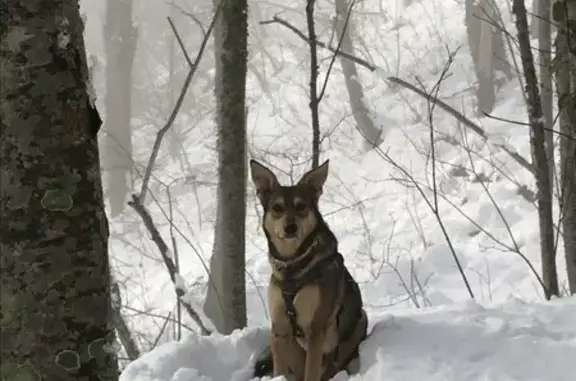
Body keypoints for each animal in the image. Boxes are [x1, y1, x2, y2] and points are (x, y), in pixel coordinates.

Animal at [249, 159, 366, 380]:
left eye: (301, 206)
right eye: (277, 207)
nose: (290, 227)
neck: (292, 265)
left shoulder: (315, 330)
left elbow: (311, 373)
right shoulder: (279, 328)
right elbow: (279, 370)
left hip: (359, 322)